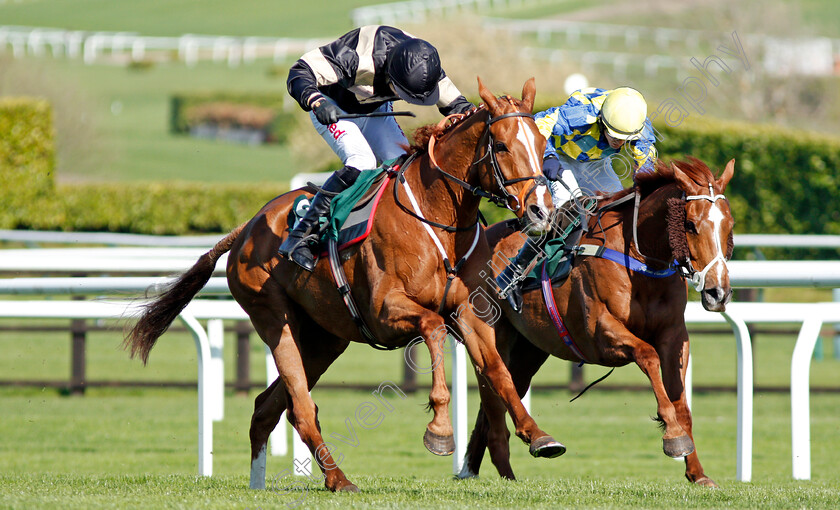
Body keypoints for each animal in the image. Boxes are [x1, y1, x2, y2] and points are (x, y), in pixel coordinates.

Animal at [124, 77, 564, 492]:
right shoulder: (386, 311)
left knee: (269, 407)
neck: (437, 217)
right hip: (275, 319)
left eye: (543, 143)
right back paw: (338, 479)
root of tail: (246, 228)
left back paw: (264, 481)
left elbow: (498, 371)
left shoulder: (470, 312)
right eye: (502, 146)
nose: (541, 211)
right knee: (301, 407)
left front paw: (538, 435)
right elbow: (434, 328)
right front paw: (439, 430)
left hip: (324, 339)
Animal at [462, 157, 732, 488]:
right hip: (490, 335)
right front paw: (672, 435)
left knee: (500, 398)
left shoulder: (673, 334)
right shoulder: (599, 333)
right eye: (691, 225)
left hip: (529, 350)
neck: (641, 262)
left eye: (729, 225)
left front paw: (697, 472)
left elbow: (681, 400)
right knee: (492, 387)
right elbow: (647, 355)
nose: (718, 292)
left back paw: (482, 468)